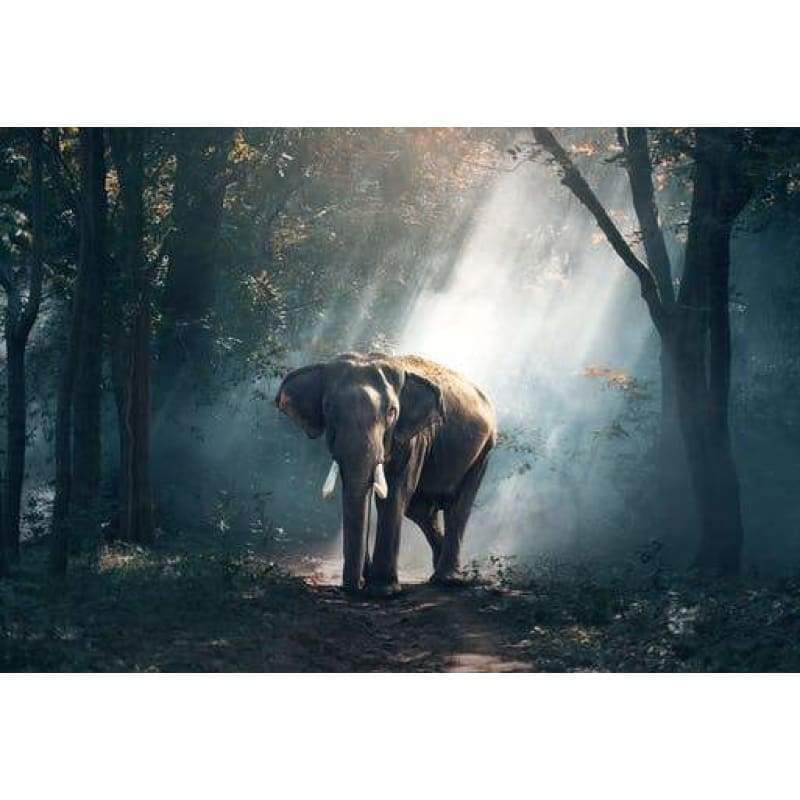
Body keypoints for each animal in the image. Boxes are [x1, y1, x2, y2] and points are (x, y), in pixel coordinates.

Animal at [275, 352, 497, 595]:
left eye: (392, 412)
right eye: (328, 408)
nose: (351, 588)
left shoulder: (413, 437)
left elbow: (394, 495)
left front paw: (383, 591)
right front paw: (368, 582)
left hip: (484, 449)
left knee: (457, 506)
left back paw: (448, 579)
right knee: (421, 511)